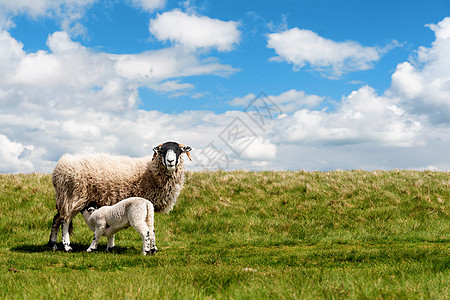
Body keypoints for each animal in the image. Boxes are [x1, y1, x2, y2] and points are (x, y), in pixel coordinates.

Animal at [48, 142, 192, 252]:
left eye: (179, 150)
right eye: (162, 150)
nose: (170, 161)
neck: (151, 170)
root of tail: (59, 167)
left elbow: (151, 227)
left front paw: (153, 248)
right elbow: (149, 227)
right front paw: (151, 248)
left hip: (66, 199)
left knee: (57, 219)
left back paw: (53, 245)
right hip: (72, 197)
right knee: (65, 221)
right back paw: (67, 246)